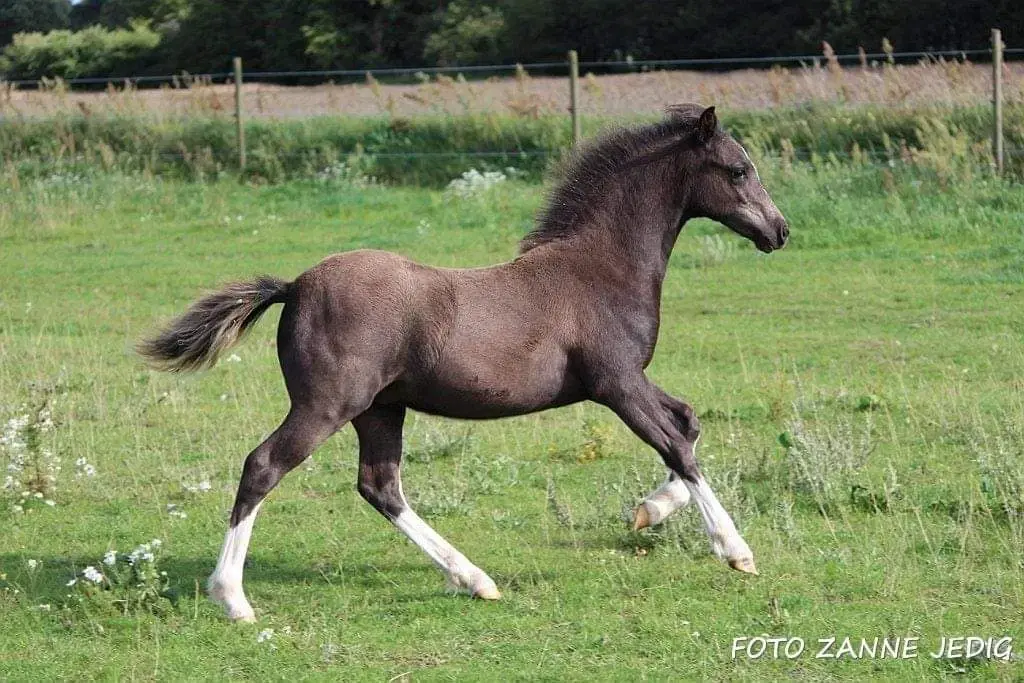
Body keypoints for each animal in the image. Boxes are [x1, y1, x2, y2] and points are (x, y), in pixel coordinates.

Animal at [140, 104, 786, 622]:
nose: (779, 231)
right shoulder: (617, 383)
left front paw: (649, 511)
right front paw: (735, 550)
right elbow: (676, 444)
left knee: (380, 486)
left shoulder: (631, 381)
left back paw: (474, 579)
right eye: (738, 170)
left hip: (379, 409)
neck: (598, 268)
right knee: (263, 466)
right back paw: (232, 599)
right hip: (327, 405)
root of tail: (295, 286)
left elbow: (689, 424)